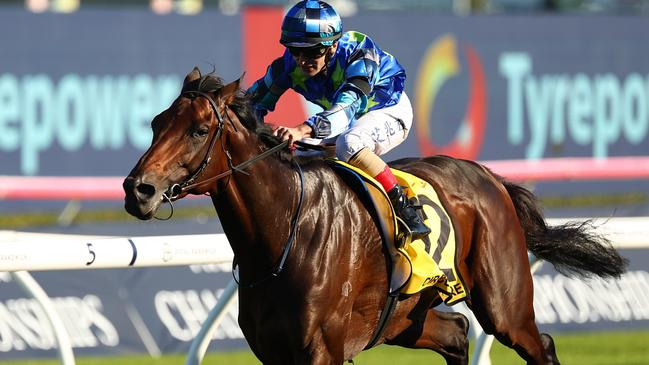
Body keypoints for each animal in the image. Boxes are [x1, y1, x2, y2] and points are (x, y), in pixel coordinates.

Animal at [124, 67, 624, 362]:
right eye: (155, 123)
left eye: (198, 129)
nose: (137, 190)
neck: (283, 232)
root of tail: (489, 176)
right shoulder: (273, 350)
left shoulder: (321, 351)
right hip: (405, 316)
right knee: (458, 332)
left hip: (505, 306)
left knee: (537, 342)